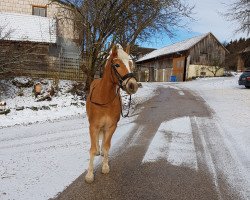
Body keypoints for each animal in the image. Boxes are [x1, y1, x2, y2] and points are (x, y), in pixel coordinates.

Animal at [85, 43, 138, 183]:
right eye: (117, 65)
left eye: (131, 64)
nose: (133, 86)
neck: (104, 98)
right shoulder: (93, 126)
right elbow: (92, 149)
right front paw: (89, 175)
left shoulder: (112, 126)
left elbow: (107, 146)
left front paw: (105, 166)